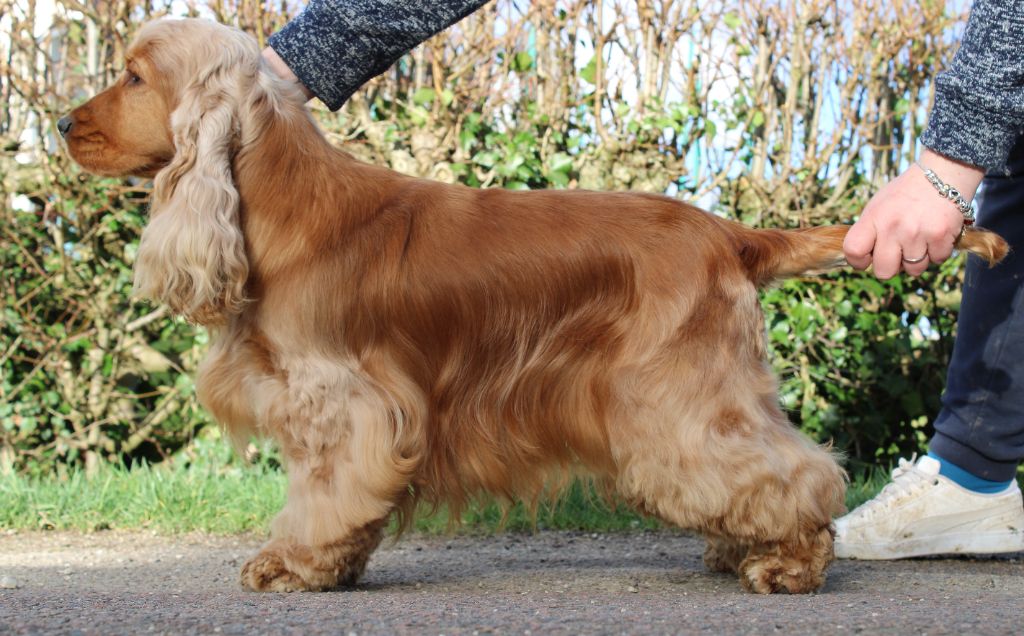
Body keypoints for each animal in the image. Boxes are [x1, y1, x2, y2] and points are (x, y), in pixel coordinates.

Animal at [59, 18, 1007, 594]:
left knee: (798, 472)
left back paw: (790, 563)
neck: (282, 206)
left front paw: (295, 564)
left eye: (134, 76)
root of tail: (728, 231)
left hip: (677, 394)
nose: (64, 123)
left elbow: (325, 491)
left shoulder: (340, 400)